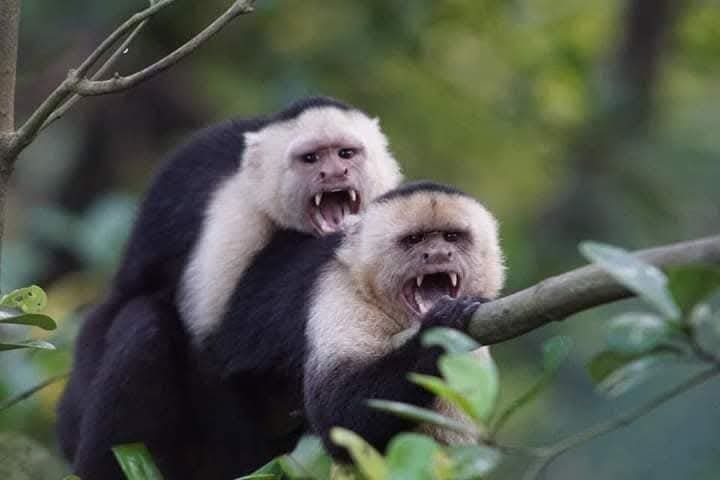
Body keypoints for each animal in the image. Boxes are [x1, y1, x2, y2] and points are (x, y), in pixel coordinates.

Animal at [56, 96, 402, 479]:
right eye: (310, 159)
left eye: (346, 154)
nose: (335, 173)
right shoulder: (236, 214)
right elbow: (216, 345)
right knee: (144, 324)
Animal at [191, 181, 505, 477]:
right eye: (413, 240)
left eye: (452, 237)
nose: (439, 254)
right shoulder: (340, 291)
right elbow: (339, 413)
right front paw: (438, 330)